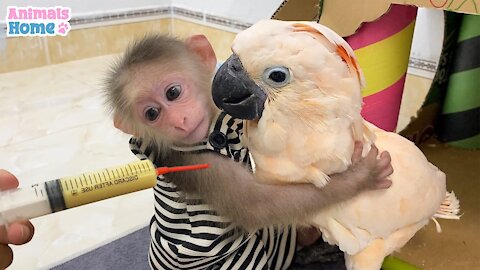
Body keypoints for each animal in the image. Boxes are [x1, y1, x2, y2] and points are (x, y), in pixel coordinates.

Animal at [103, 33, 392, 268]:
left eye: (173, 92)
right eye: (152, 114)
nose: (179, 121)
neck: (217, 131)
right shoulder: (196, 161)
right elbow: (258, 204)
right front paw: (364, 175)